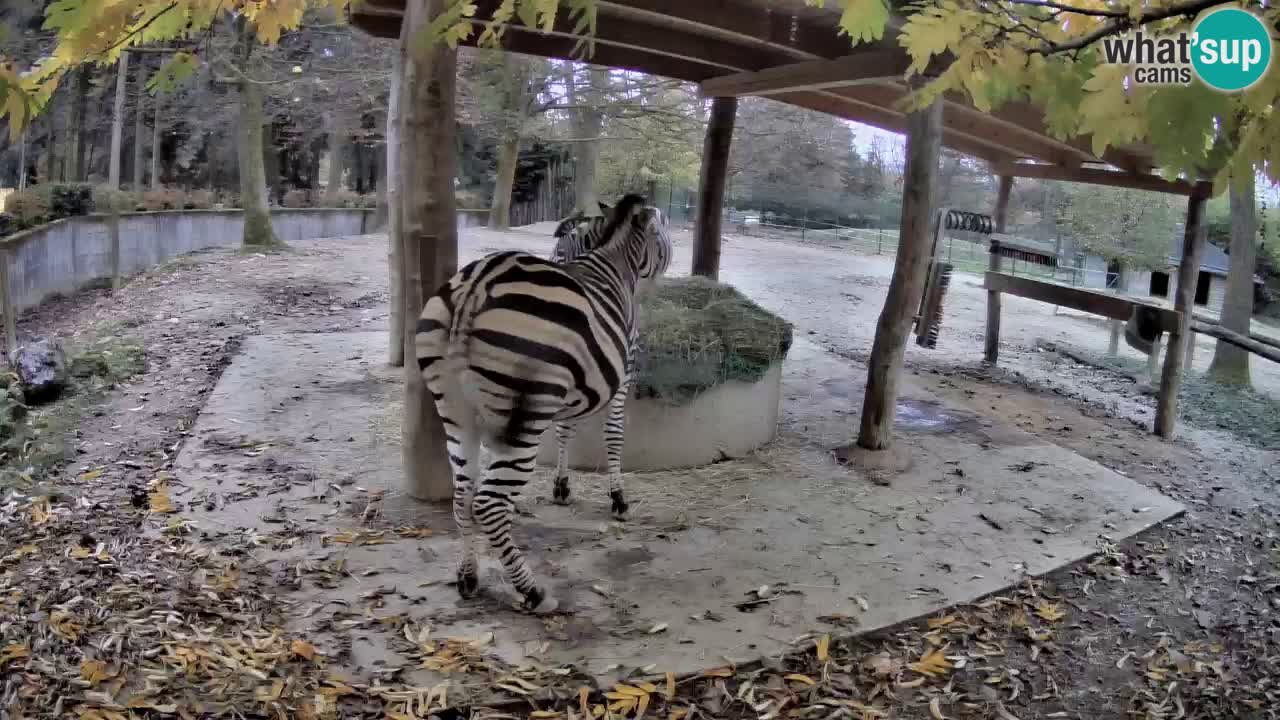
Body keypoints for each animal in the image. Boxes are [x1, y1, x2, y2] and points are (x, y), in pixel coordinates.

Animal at [414, 194, 672, 613]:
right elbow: (614, 435)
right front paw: (618, 498)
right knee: (489, 503)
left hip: (456, 411)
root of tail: (473, 289)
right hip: (525, 415)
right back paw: (532, 591)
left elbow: (566, 430)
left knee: (463, 495)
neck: (613, 260)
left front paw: (562, 487)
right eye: (663, 231)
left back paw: (468, 577)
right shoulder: (623, 373)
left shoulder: (571, 390)